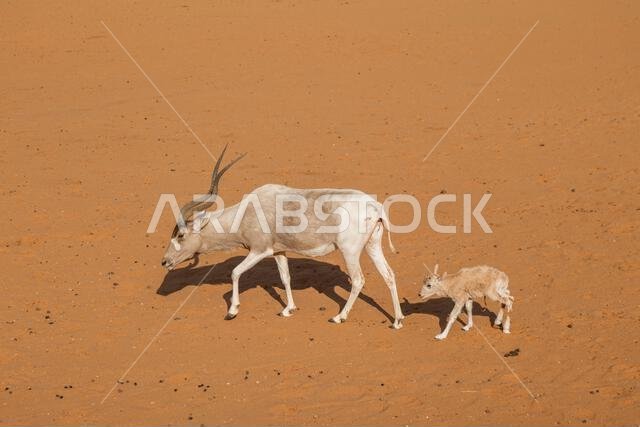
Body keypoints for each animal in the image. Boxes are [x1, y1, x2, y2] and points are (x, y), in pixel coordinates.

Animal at [161, 146, 405, 329]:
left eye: (181, 235)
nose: (165, 261)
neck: (246, 211)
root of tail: (375, 207)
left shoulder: (259, 250)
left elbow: (235, 272)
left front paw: (232, 311)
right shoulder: (279, 251)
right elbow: (285, 277)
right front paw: (288, 309)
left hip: (349, 251)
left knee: (358, 280)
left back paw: (339, 317)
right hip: (372, 246)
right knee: (389, 275)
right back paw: (397, 321)